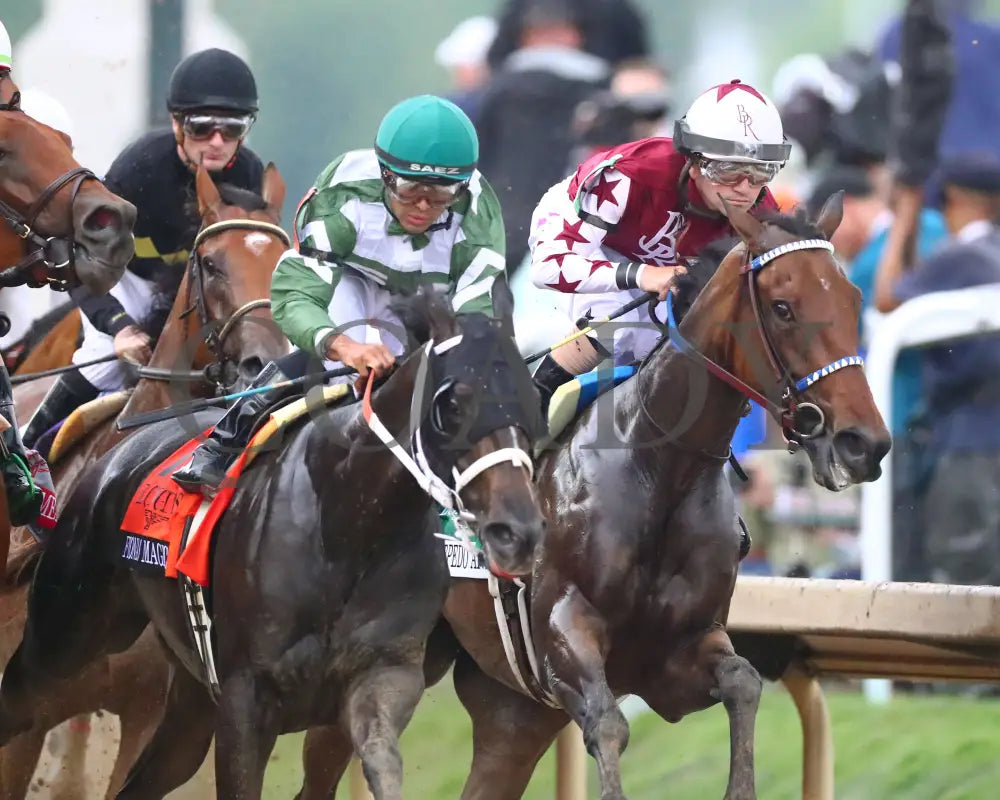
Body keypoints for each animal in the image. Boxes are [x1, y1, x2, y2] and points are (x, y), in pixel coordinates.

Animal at [0, 282, 544, 800]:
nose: (517, 531)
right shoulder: (246, 700)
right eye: (451, 403)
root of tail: (115, 457)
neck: (349, 529)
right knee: (20, 697)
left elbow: (382, 764)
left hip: (188, 702)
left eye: (529, 397)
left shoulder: (381, 678)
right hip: (65, 634)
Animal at [302, 195, 892, 800]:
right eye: (783, 307)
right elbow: (608, 724)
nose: (863, 443)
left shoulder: (677, 655)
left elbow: (743, 682)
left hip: (512, 707)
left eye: (853, 300)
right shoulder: (564, 635)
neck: (659, 467)